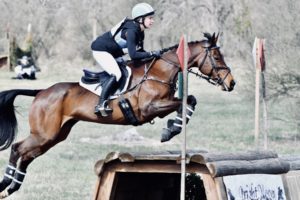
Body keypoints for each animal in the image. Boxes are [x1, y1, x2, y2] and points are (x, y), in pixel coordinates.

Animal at [0, 33, 234, 198]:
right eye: (216, 56)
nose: (232, 83)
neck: (158, 72)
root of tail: (41, 91)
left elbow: (189, 100)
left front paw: (173, 127)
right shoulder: (148, 108)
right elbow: (185, 101)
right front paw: (171, 130)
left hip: (54, 136)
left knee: (27, 155)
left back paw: (12, 187)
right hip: (44, 134)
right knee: (17, 148)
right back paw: (6, 183)